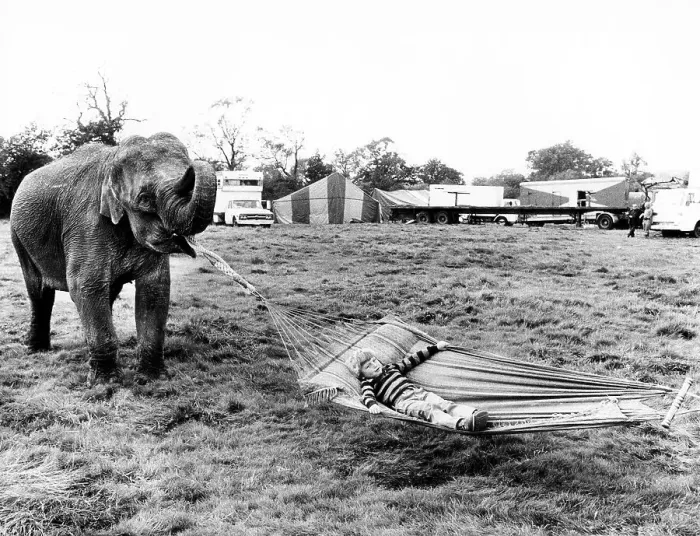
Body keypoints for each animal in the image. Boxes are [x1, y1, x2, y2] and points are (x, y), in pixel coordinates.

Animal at [10, 132, 216, 383]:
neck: (113, 158)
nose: (196, 164)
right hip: (18, 236)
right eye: (144, 199)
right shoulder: (85, 224)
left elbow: (155, 288)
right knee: (39, 292)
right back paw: (37, 349)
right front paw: (106, 382)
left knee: (106, 293)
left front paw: (151, 378)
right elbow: (85, 286)